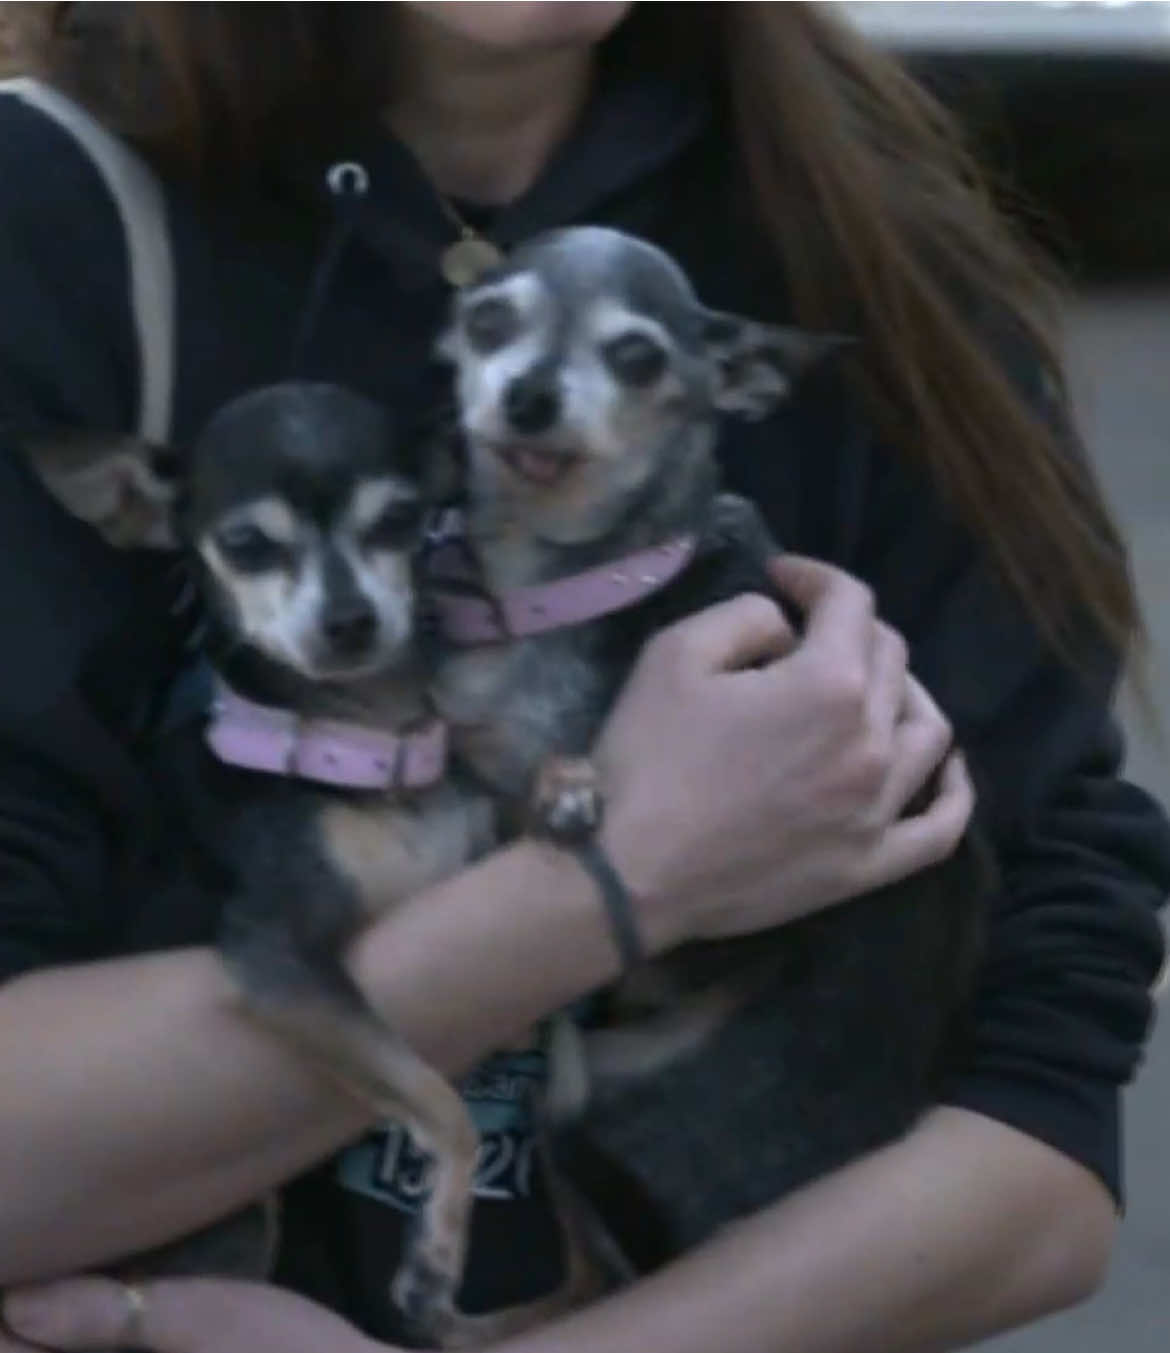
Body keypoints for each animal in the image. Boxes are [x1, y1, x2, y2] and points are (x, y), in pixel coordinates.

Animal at [24, 386, 492, 1347]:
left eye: (400, 519)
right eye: (245, 544)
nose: (349, 620)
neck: (365, 744)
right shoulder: (279, 958)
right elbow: (441, 1101)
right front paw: (435, 1255)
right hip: (234, 1223)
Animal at [430, 230, 984, 1266]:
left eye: (637, 356)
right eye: (488, 318)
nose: (530, 392)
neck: (556, 585)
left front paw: (555, 787)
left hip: (621, 1090)